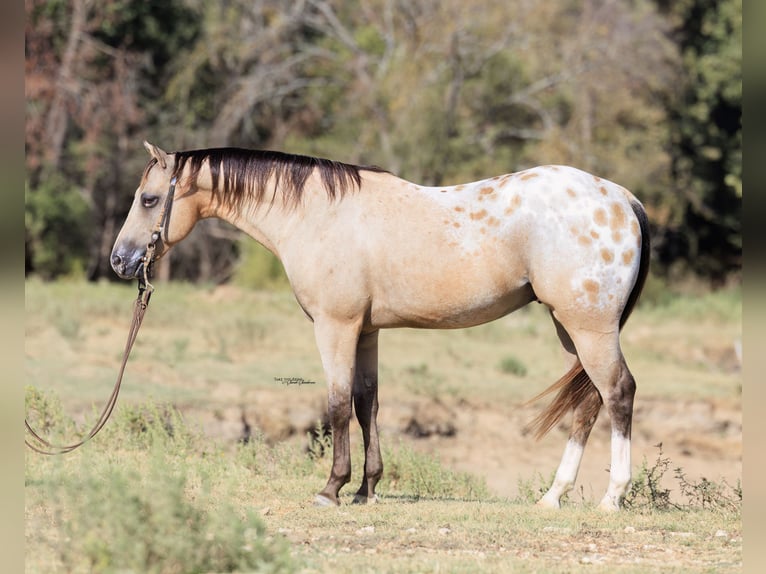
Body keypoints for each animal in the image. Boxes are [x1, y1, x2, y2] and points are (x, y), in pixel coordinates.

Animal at [111, 141, 649, 511]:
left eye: (149, 199)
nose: (120, 260)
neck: (315, 214)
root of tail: (623, 197)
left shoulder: (335, 327)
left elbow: (336, 404)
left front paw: (332, 488)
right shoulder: (366, 331)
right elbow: (366, 402)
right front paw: (366, 489)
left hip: (590, 329)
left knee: (618, 392)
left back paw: (612, 497)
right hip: (570, 329)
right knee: (588, 402)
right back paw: (553, 495)